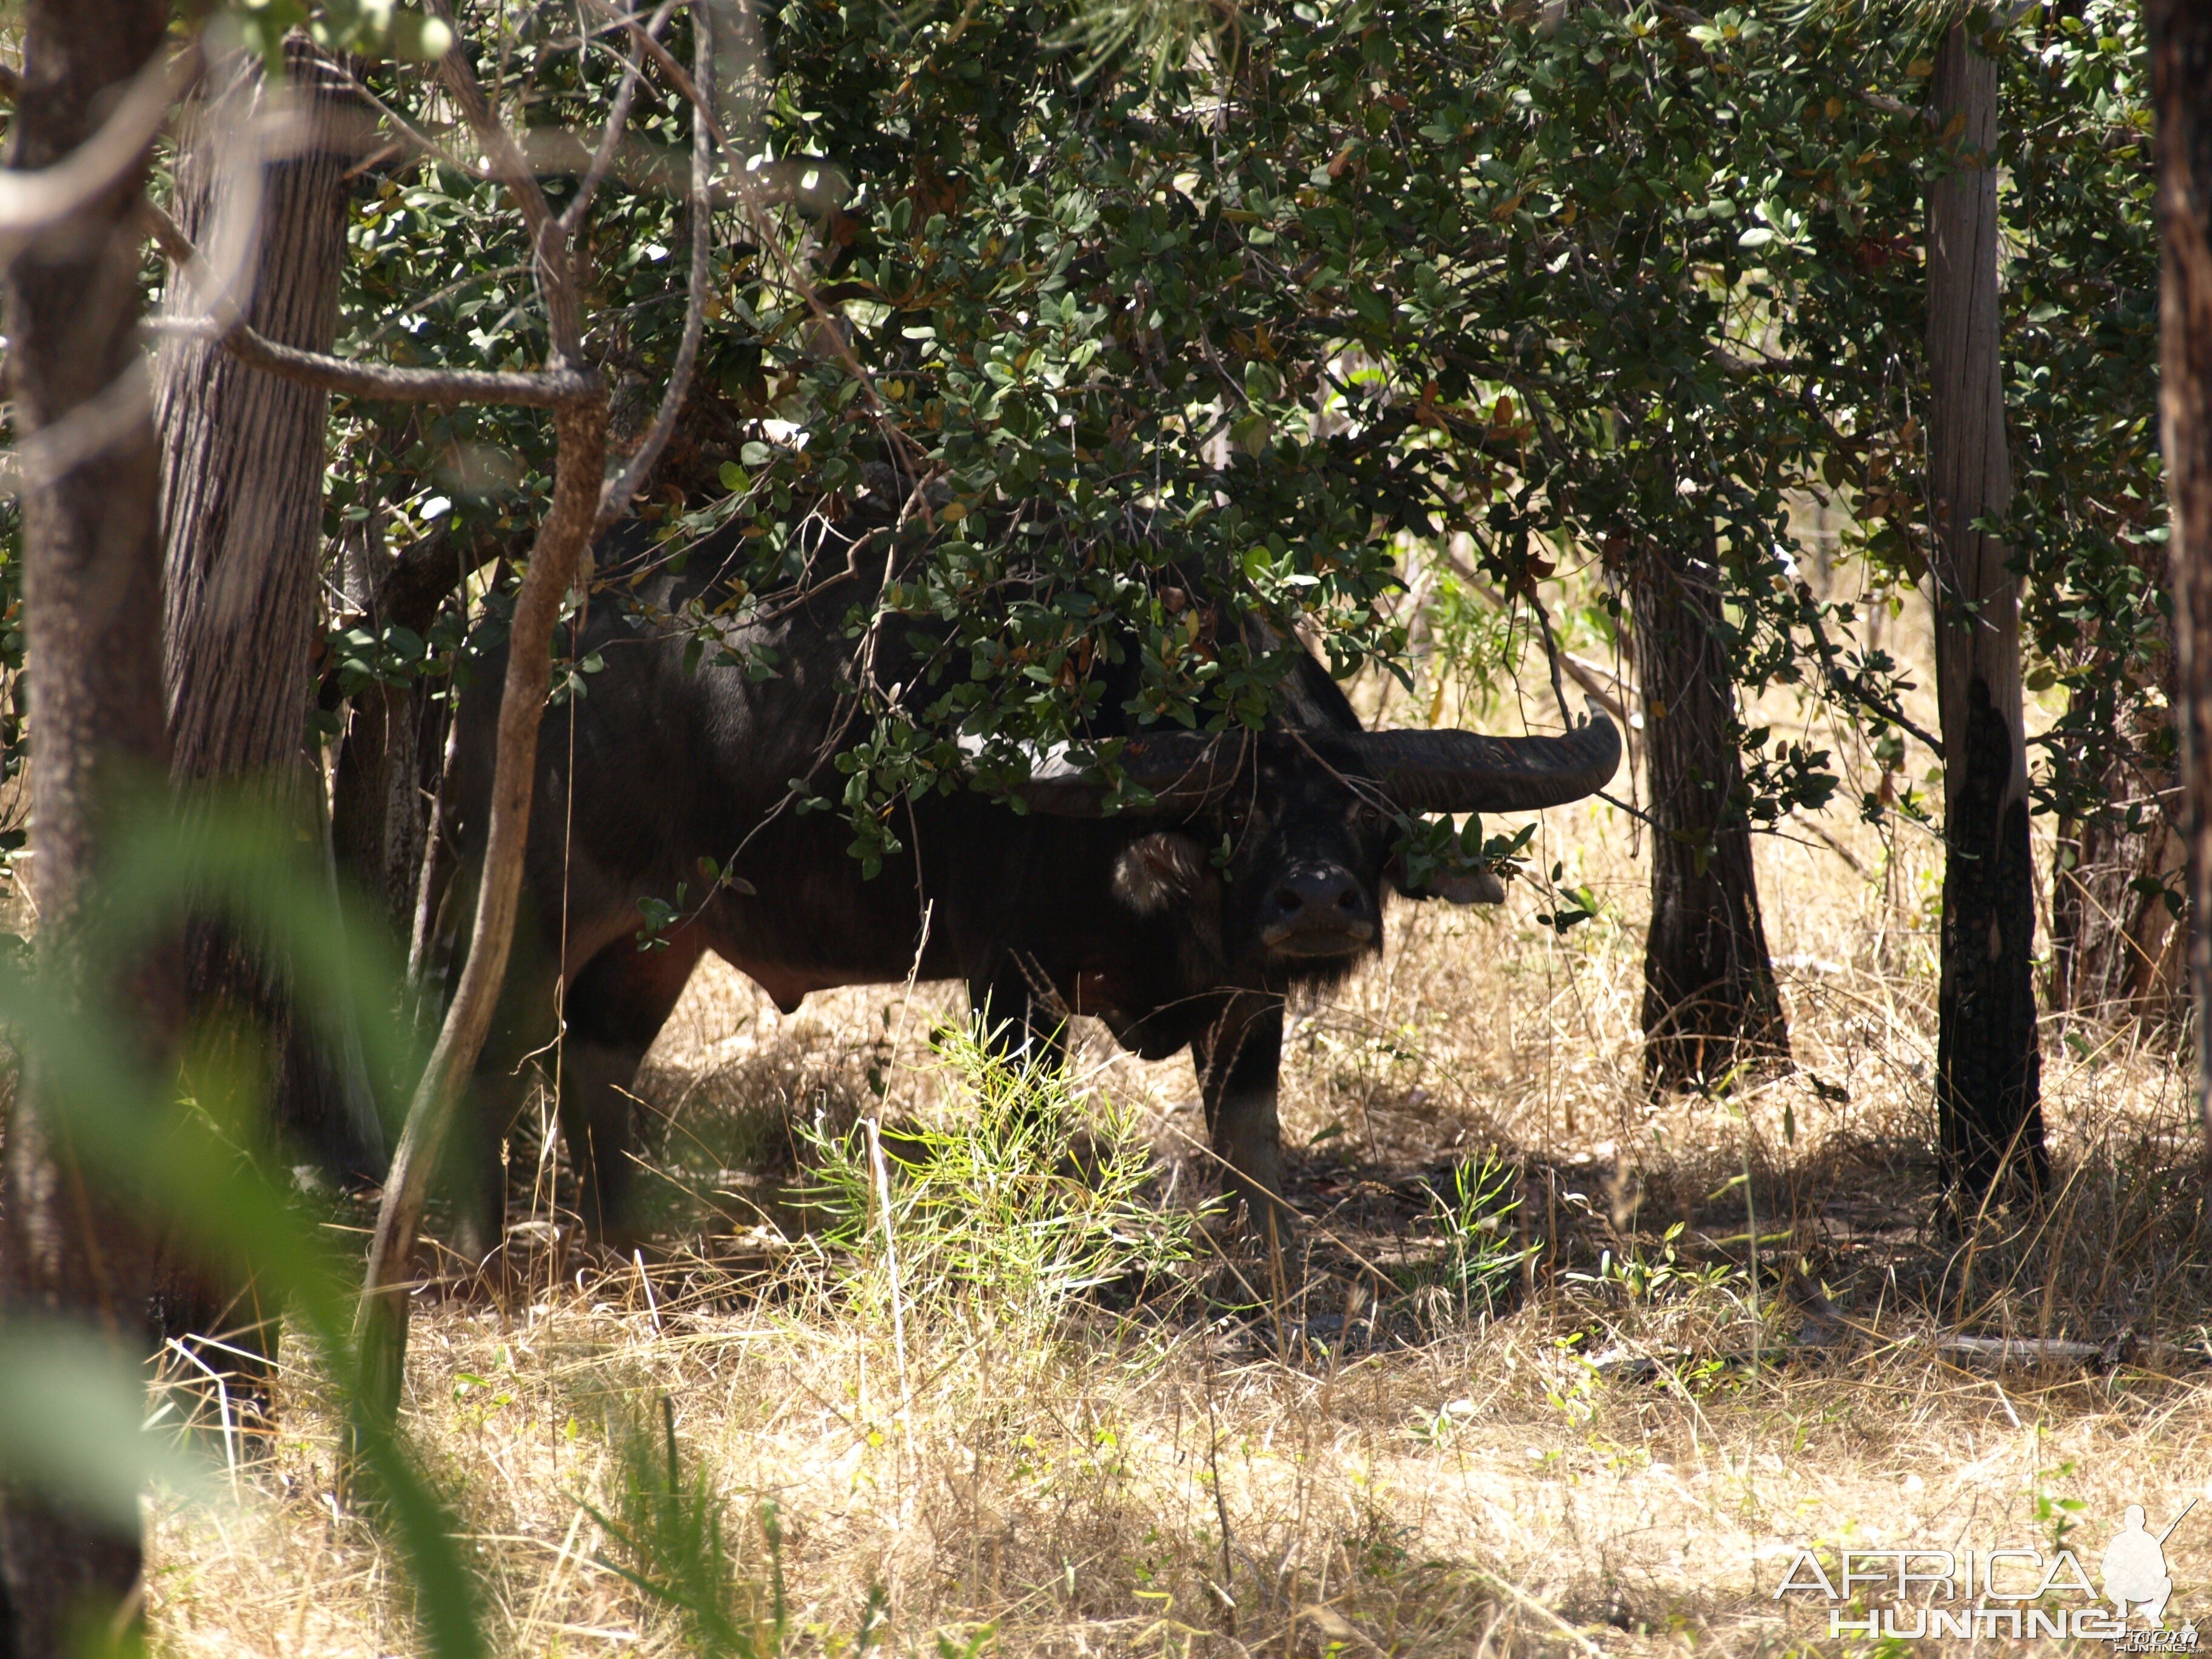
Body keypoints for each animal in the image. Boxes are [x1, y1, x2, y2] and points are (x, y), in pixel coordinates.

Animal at [444, 513, 1627, 1256]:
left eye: (1370, 821)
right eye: (1237, 816)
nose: (1320, 906)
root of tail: (524, 640)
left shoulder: (1247, 1006)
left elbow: (1252, 1150)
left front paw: (1272, 1272)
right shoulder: (1010, 984)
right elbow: (1024, 1135)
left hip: (665, 936)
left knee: (598, 1065)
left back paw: (624, 1244)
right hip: (543, 904)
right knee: (492, 1052)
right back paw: (483, 1252)